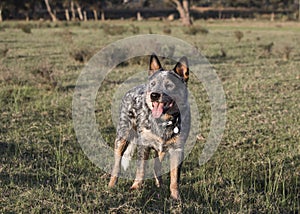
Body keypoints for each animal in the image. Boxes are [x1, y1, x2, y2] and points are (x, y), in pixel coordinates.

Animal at [109, 53, 191, 201]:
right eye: (153, 84)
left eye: (169, 85)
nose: (154, 95)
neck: (163, 121)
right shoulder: (144, 144)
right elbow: (140, 170)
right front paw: (135, 188)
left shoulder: (177, 149)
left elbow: (174, 178)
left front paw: (175, 197)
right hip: (122, 136)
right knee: (116, 163)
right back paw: (111, 185)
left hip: (161, 149)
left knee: (156, 166)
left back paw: (160, 185)